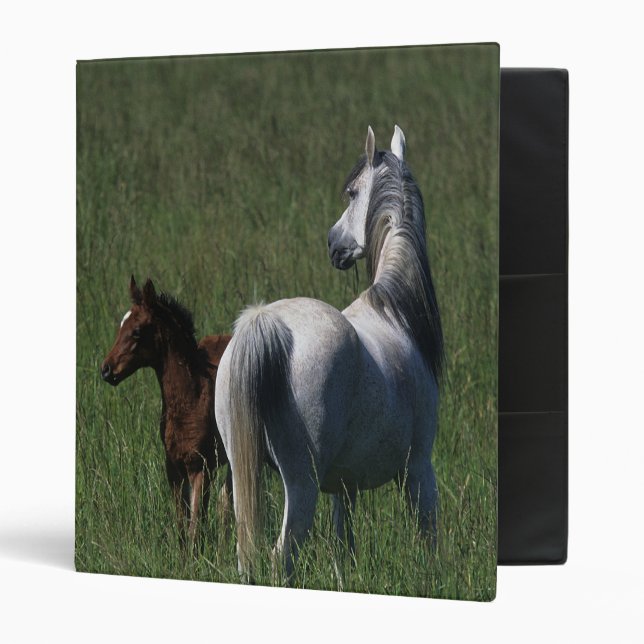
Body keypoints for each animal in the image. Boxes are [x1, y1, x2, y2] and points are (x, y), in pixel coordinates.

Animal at [101, 276, 232, 547]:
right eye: (120, 326)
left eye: (137, 331)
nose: (106, 370)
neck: (191, 399)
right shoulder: (173, 469)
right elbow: (182, 527)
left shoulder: (201, 468)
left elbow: (195, 528)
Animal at [215, 125, 444, 580]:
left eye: (352, 193)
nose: (332, 244)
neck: (395, 311)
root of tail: (265, 323)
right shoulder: (418, 470)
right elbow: (428, 537)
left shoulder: (344, 485)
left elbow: (344, 549)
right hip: (301, 486)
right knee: (280, 557)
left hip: (244, 474)